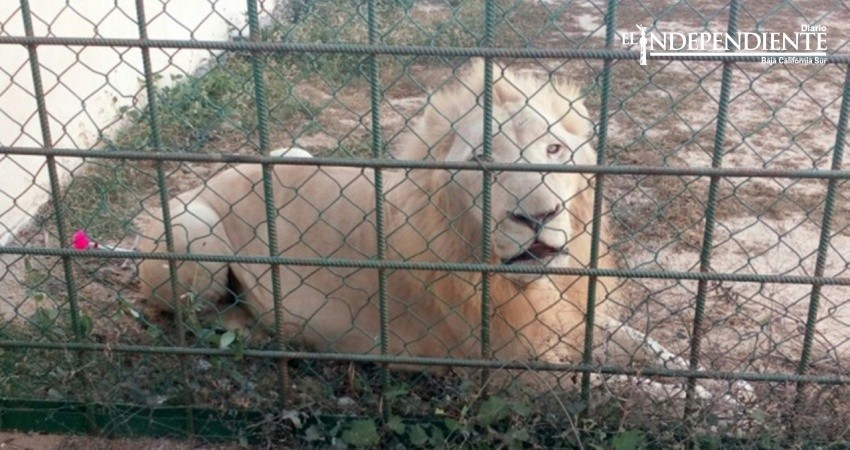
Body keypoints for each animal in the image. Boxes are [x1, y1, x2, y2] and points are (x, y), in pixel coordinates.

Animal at [136, 61, 754, 405]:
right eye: (481, 160)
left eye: (555, 148)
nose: (540, 216)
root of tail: (217, 171)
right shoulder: (511, 373)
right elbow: (624, 384)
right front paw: (717, 406)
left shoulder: (573, 316)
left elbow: (649, 348)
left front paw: (728, 383)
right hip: (193, 232)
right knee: (182, 314)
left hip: (292, 151)